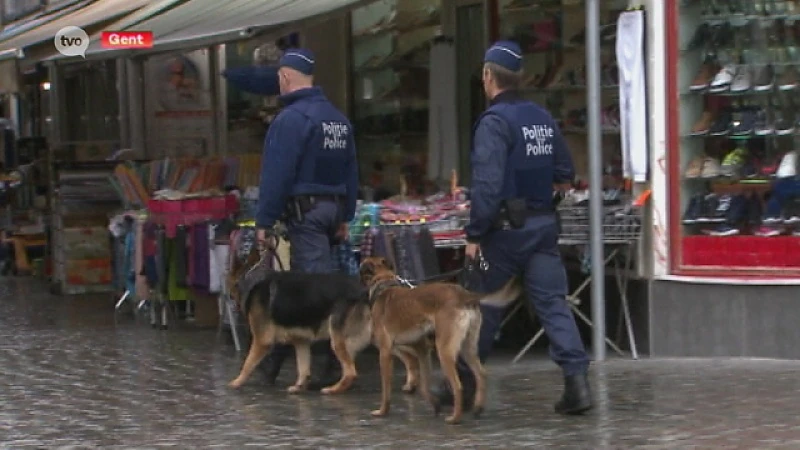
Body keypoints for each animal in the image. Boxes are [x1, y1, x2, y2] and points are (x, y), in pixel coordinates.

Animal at [358, 256, 520, 426]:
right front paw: (435, 404)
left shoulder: (385, 353)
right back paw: (477, 408)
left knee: (458, 385)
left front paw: (382, 411)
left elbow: (386, 388)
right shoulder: (422, 350)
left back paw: (455, 418)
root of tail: (463, 295)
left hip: (444, 350)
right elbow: (424, 384)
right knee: (481, 374)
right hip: (467, 348)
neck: (383, 283)